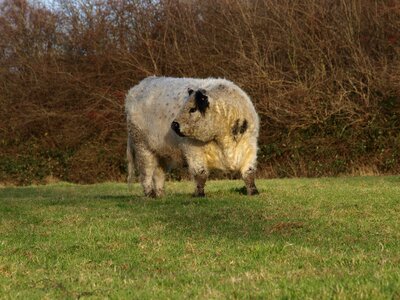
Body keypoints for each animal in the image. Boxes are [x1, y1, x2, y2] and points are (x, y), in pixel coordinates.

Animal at [126, 76, 260, 197]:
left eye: (193, 109)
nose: (174, 124)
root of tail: (138, 87)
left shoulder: (249, 148)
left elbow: (249, 172)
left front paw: (253, 192)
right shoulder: (193, 150)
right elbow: (201, 174)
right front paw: (199, 194)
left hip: (161, 152)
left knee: (158, 173)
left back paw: (160, 195)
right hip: (142, 146)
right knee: (146, 172)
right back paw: (150, 194)